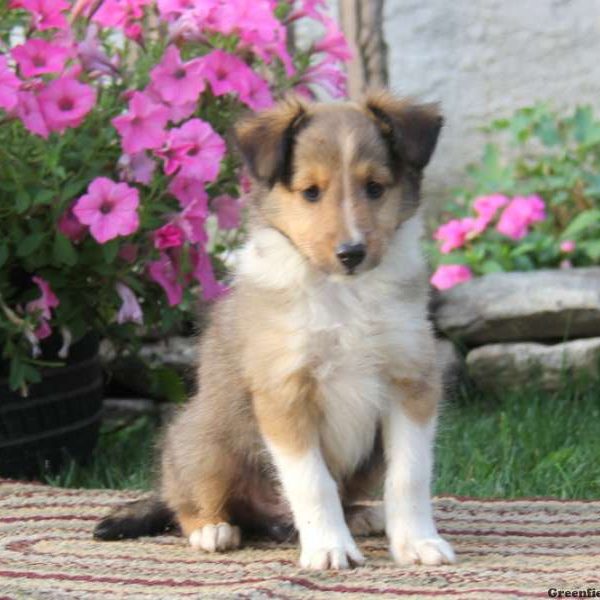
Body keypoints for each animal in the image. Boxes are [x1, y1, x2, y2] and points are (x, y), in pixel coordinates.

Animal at [96, 91, 458, 568]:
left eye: (375, 188)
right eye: (310, 192)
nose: (352, 253)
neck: (345, 295)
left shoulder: (411, 380)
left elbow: (409, 474)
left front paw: (417, 542)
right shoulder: (285, 391)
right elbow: (312, 481)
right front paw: (329, 548)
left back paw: (362, 516)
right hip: (204, 438)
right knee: (186, 499)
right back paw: (213, 529)